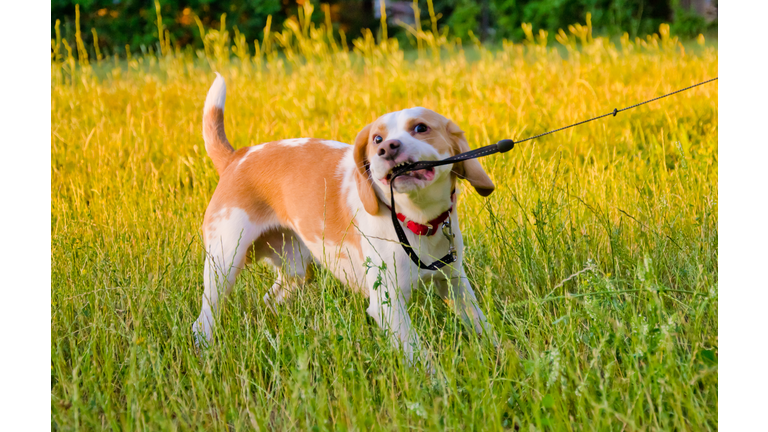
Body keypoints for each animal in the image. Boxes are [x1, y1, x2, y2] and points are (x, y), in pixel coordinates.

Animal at [192, 73, 498, 364]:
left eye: (421, 128)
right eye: (376, 139)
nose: (387, 148)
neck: (417, 221)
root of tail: (237, 157)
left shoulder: (455, 283)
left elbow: (483, 327)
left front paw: (500, 355)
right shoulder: (388, 305)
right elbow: (421, 358)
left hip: (296, 270)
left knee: (270, 299)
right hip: (224, 265)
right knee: (203, 320)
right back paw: (204, 349)